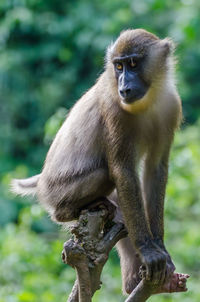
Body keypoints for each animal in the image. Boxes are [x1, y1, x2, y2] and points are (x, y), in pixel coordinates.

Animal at [10, 28, 183, 292]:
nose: (124, 87)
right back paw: (70, 212)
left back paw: (133, 282)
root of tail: (42, 182)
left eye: (133, 63)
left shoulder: (171, 106)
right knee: (106, 176)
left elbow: (156, 170)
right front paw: (149, 251)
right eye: (119, 66)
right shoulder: (114, 110)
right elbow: (123, 171)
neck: (147, 102)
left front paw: (161, 250)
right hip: (57, 191)